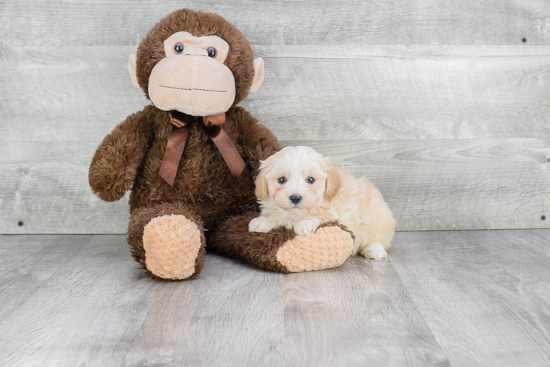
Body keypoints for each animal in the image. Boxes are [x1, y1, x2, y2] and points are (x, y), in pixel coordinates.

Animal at [249, 145, 396, 260]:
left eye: (310, 179)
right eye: (281, 180)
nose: (295, 197)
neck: (295, 214)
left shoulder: (338, 210)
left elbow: (322, 213)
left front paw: (305, 223)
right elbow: (274, 214)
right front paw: (262, 221)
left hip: (377, 219)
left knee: (378, 239)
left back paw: (374, 250)